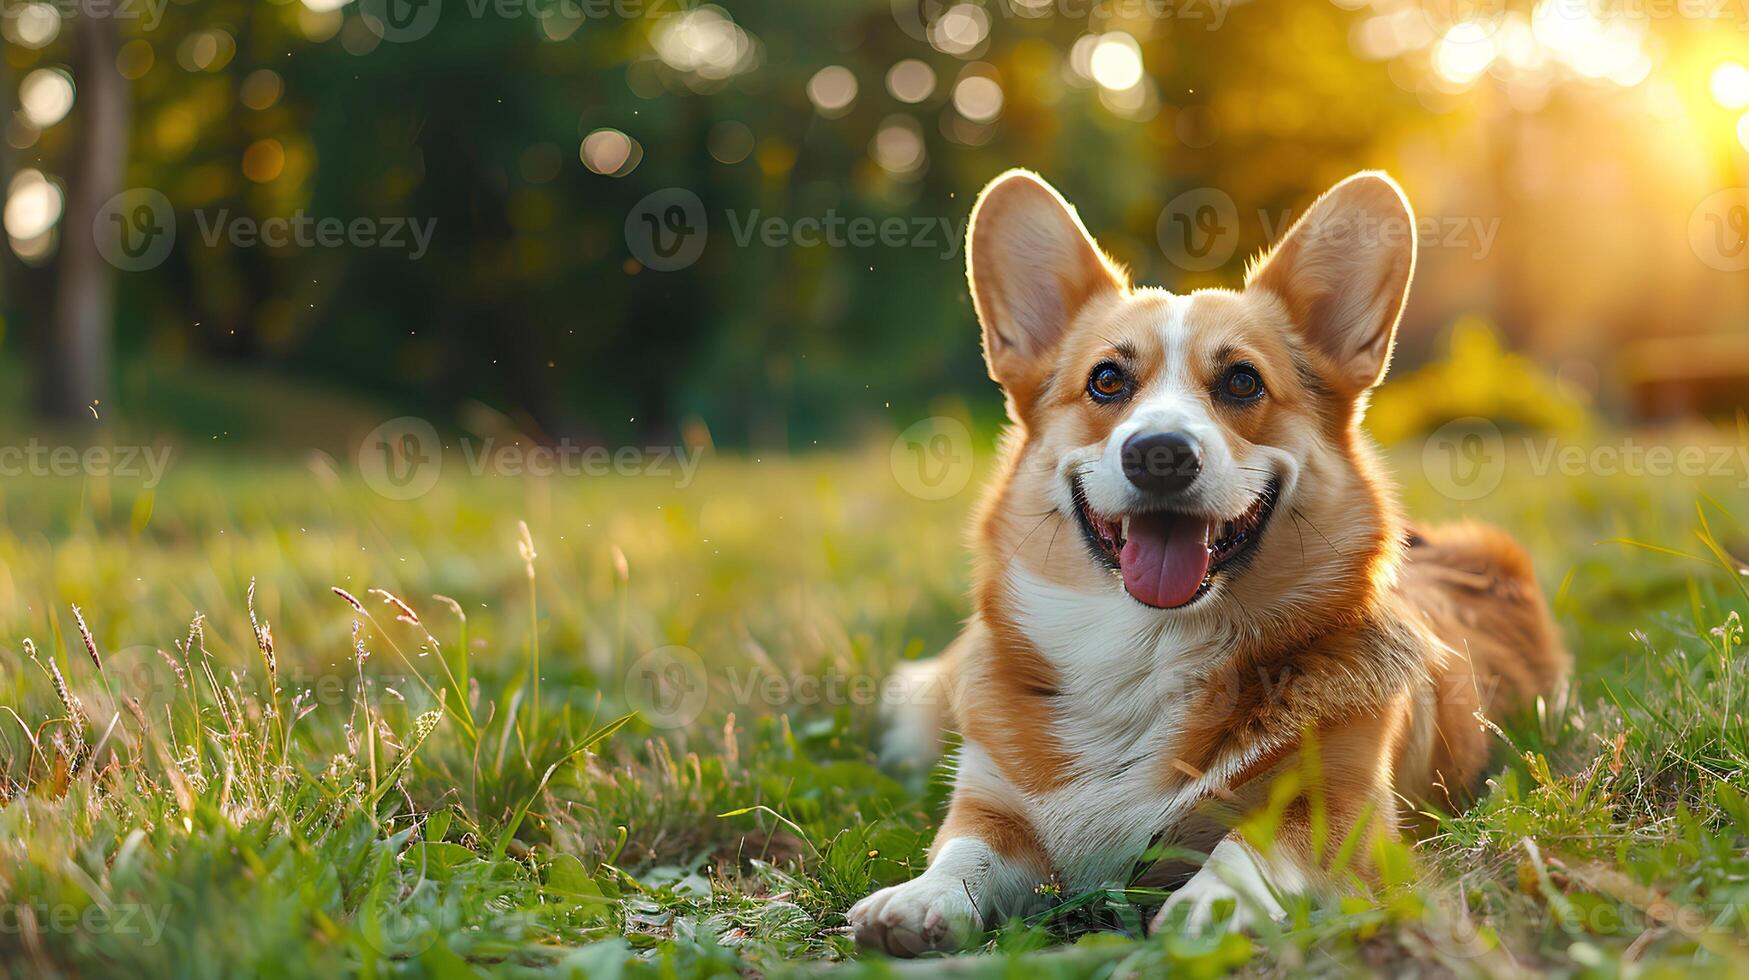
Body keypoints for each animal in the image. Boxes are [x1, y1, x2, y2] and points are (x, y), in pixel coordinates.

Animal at [846, 172, 1574, 952]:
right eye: (1106, 380)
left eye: (1242, 382)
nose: (1159, 453)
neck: (1147, 650)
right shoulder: (993, 803)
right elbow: (965, 851)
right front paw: (917, 898)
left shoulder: (1344, 809)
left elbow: (1252, 844)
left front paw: (1213, 903)